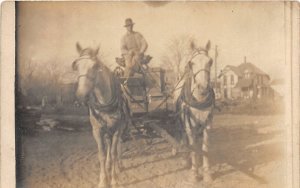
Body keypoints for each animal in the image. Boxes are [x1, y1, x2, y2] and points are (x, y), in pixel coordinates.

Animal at [72, 43, 130, 188]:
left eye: (95, 66)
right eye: (76, 66)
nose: (80, 96)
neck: (105, 104)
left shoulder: (117, 129)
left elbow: (114, 152)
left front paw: (114, 179)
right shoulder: (97, 131)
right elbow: (102, 155)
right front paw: (104, 180)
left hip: (120, 129)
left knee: (117, 146)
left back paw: (118, 165)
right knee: (109, 145)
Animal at [175, 40, 214, 184]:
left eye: (210, 61)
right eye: (191, 63)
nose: (203, 88)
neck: (199, 100)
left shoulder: (208, 124)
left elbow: (205, 147)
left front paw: (207, 173)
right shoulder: (189, 125)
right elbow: (193, 147)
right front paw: (194, 173)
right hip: (182, 121)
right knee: (184, 138)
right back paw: (186, 159)